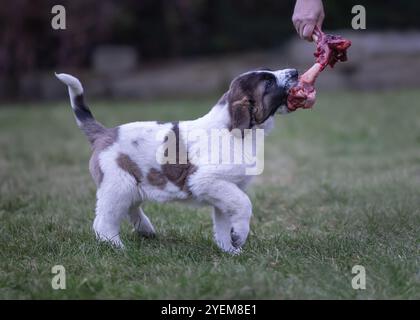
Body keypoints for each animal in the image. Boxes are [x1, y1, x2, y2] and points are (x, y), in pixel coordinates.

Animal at [55, 69, 298, 254]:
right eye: (268, 82)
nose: (295, 72)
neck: (238, 131)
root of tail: (104, 134)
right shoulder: (208, 181)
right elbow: (244, 204)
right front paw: (239, 236)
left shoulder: (225, 189)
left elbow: (223, 222)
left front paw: (230, 250)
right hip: (118, 184)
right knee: (104, 221)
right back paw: (117, 247)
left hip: (133, 184)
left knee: (130, 207)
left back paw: (145, 229)